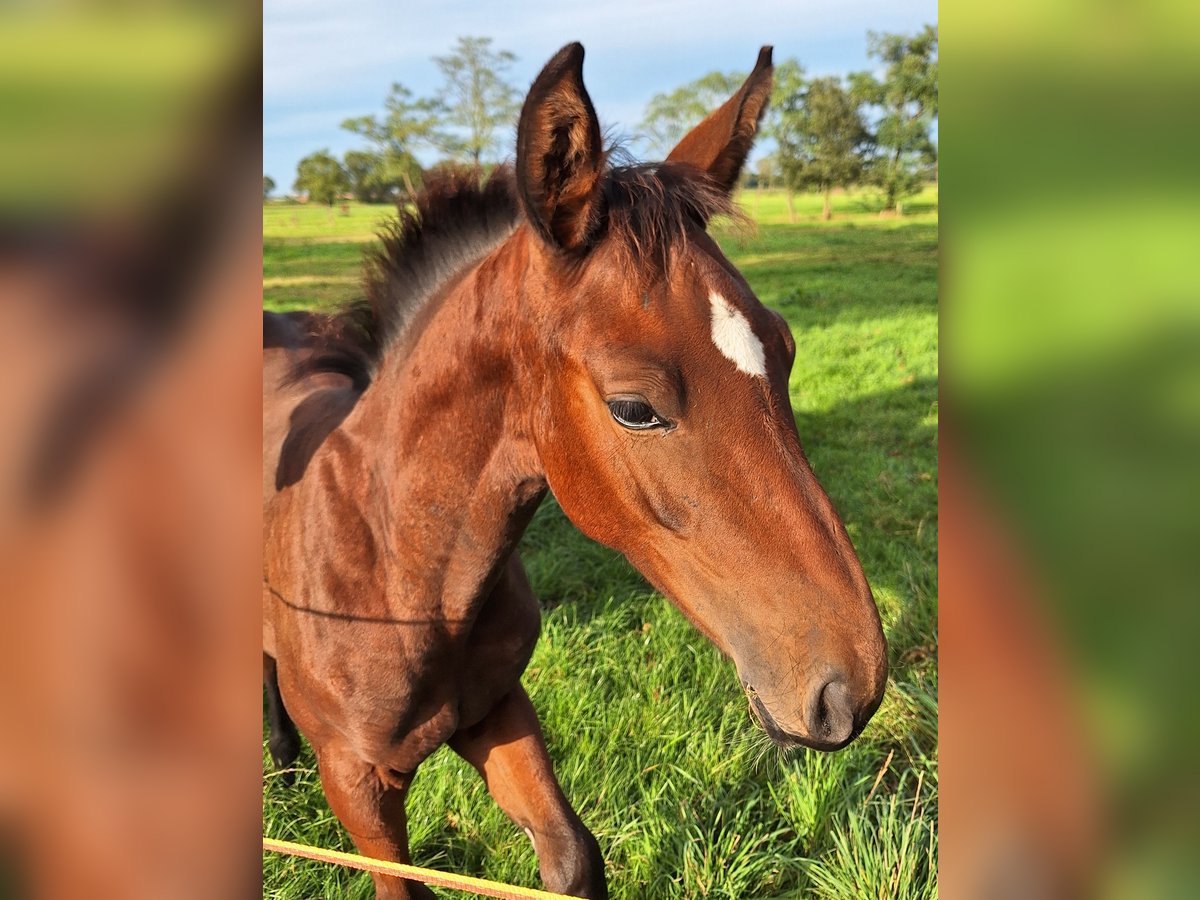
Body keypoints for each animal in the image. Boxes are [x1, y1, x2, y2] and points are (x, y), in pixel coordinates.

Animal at [262, 44, 888, 900]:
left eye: (786, 351)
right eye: (633, 407)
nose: (850, 689)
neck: (395, 571)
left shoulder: (498, 708)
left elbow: (569, 856)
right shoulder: (359, 790)